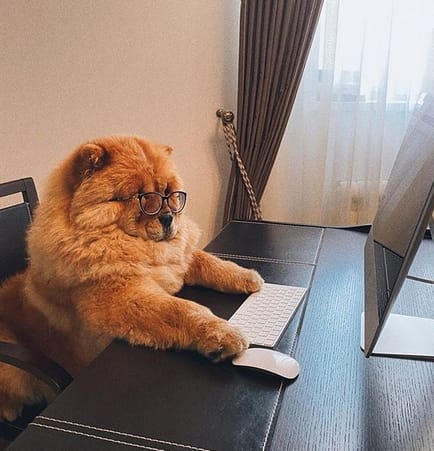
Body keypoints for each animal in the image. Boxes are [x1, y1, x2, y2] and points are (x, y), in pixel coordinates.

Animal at [0, 135, 263, 422]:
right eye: (143, 197)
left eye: (170, 193)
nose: (169, 217)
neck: (134, 247)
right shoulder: (124, 297)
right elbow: (182, 309)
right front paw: (224, 335)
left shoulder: (176, 260)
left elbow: (208, 261)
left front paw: (248, 277)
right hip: (14, 370)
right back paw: (12, 412)